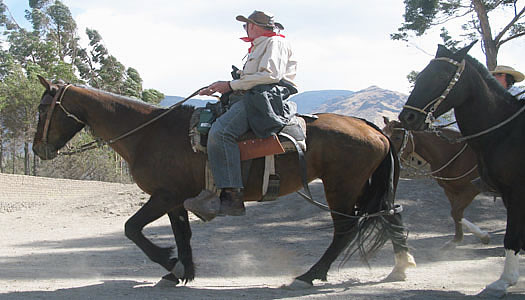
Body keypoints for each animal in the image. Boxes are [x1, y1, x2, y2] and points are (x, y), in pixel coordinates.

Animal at [33, 77, 418, 288]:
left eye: (42, 110)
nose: (38, 149)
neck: (150, 133)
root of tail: (372, 127)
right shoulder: (176, 199)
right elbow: (182, 234)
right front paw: (181, 271)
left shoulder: (164, 195)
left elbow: (132, 229)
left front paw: (170, 263)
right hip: (366, 186)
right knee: (391, 215)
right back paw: (400, 267)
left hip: (342, 187)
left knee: (345, 230)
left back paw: (310, 275)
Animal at [400, 41, 520, 296]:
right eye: (421, 75)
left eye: (442, 75)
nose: (408, 116)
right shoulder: (453, 189)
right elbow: (455, 213)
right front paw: (458, 240)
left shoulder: (503, 191)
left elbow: (508, 233)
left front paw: (504, 279)